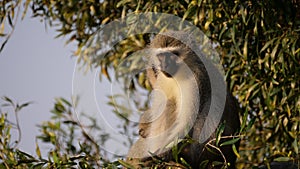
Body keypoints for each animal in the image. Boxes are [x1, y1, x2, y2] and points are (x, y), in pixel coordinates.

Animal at [125, 31, 240, 168]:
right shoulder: (163, 79)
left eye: (173, 55)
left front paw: (158, 156)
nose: (165, 65)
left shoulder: (194, 80)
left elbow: (186, 124)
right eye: (161, 56)